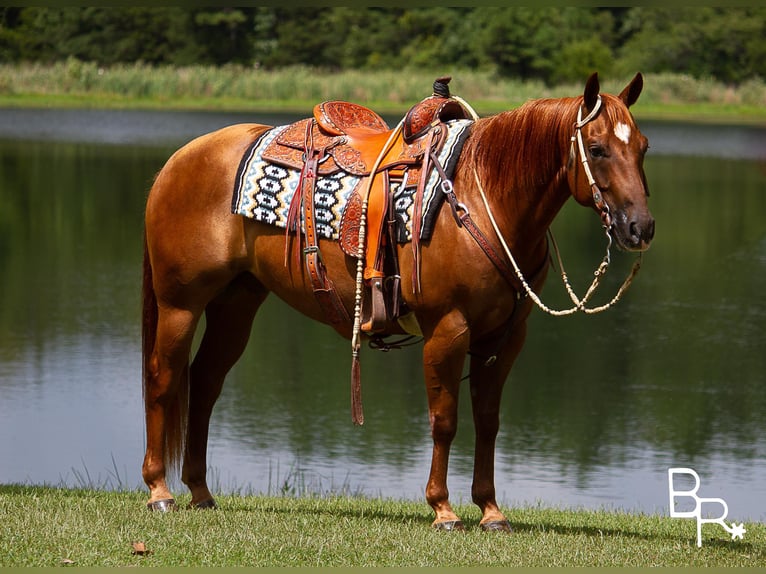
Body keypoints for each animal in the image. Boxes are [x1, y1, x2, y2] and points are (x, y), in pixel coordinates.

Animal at [141, 74, 656, 532]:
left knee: (205, 382)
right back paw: (159, 491)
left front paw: (490, 511)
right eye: (597, 148)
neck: (480, 197)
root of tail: (179, 157)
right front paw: (443, 509)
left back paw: (199, 491)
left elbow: (487, 421)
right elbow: (445, 420)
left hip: (236, 303)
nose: (640, 228)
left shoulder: (505, 337)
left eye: (643, 147)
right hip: (180, 303)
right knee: (164, 378)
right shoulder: (448, 329)